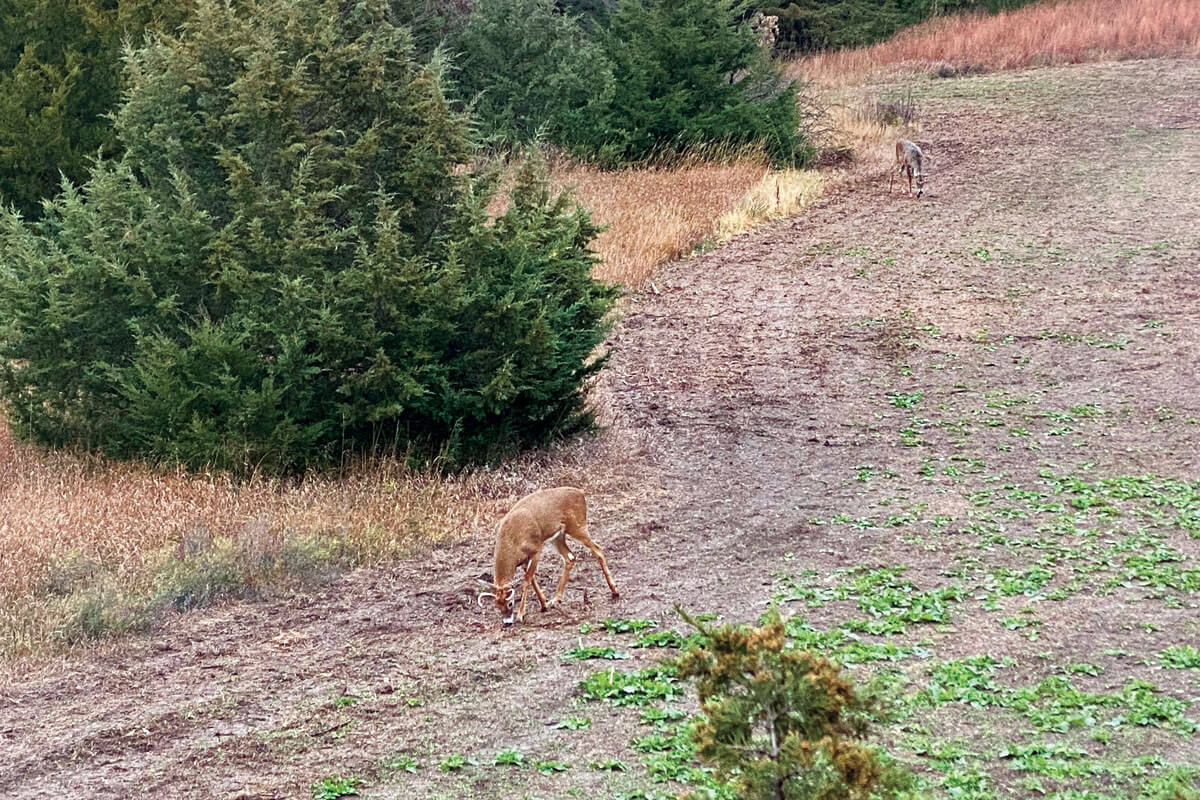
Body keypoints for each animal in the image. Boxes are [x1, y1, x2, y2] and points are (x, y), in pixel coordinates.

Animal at [472, 484, 619, 628]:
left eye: (510, 603)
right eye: (496, 605)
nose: (507, 623)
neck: (511, 545)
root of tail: (581, 493)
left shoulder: (536, 549)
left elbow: (527, 580)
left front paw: (521, 614)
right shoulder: (524, 560)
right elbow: (532, 579)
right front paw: (544, 604)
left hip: (578, 526)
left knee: (598, 550)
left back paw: (614, 591)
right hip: (558, 536)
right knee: (570, 557)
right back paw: (556, 599)